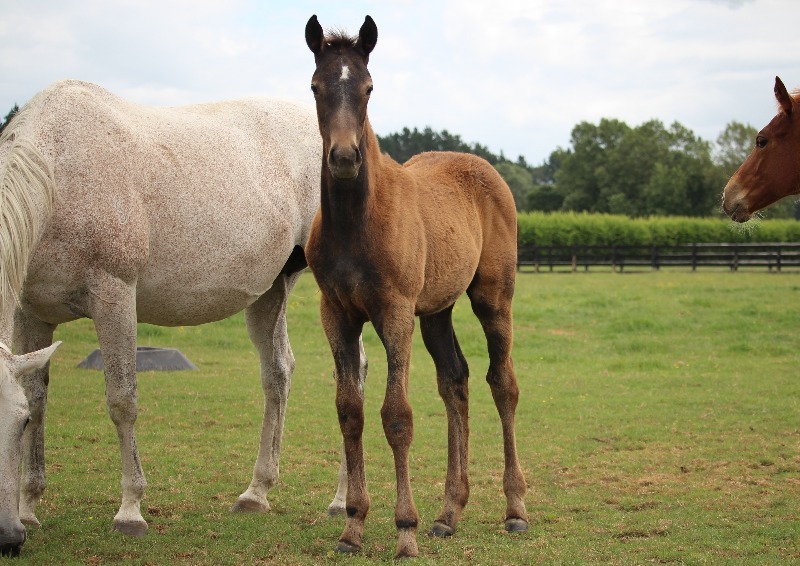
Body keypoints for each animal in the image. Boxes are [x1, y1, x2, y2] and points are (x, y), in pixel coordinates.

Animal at [304, 15, 529, 559]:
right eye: (316, 86)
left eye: (368, 87)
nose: (345, 157)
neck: (357, 221)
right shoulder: (335, 313)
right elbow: (350, 411)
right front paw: (353, 526)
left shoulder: (395, 311)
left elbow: (397, 415)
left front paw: (404, 530)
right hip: (437, 311)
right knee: (456, 381)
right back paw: (449, 513)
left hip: (493, 299)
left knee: (503, 384)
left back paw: (515, 509)